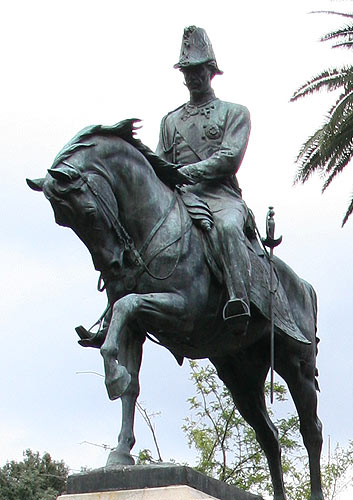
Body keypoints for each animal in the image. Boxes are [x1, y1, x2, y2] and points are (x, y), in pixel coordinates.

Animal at [26, 120, 324, 500]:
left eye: (88, 212)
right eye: (62, 220)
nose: (115, 266)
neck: (152, 225)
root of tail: (305, 286)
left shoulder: (181, 311)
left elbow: (125, 305)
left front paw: (113, 377)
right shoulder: (136, 329)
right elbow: (130, 380)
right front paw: (120, 452)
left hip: (297, 365)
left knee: (311, 429)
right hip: (241, 374)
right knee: (268, 436)